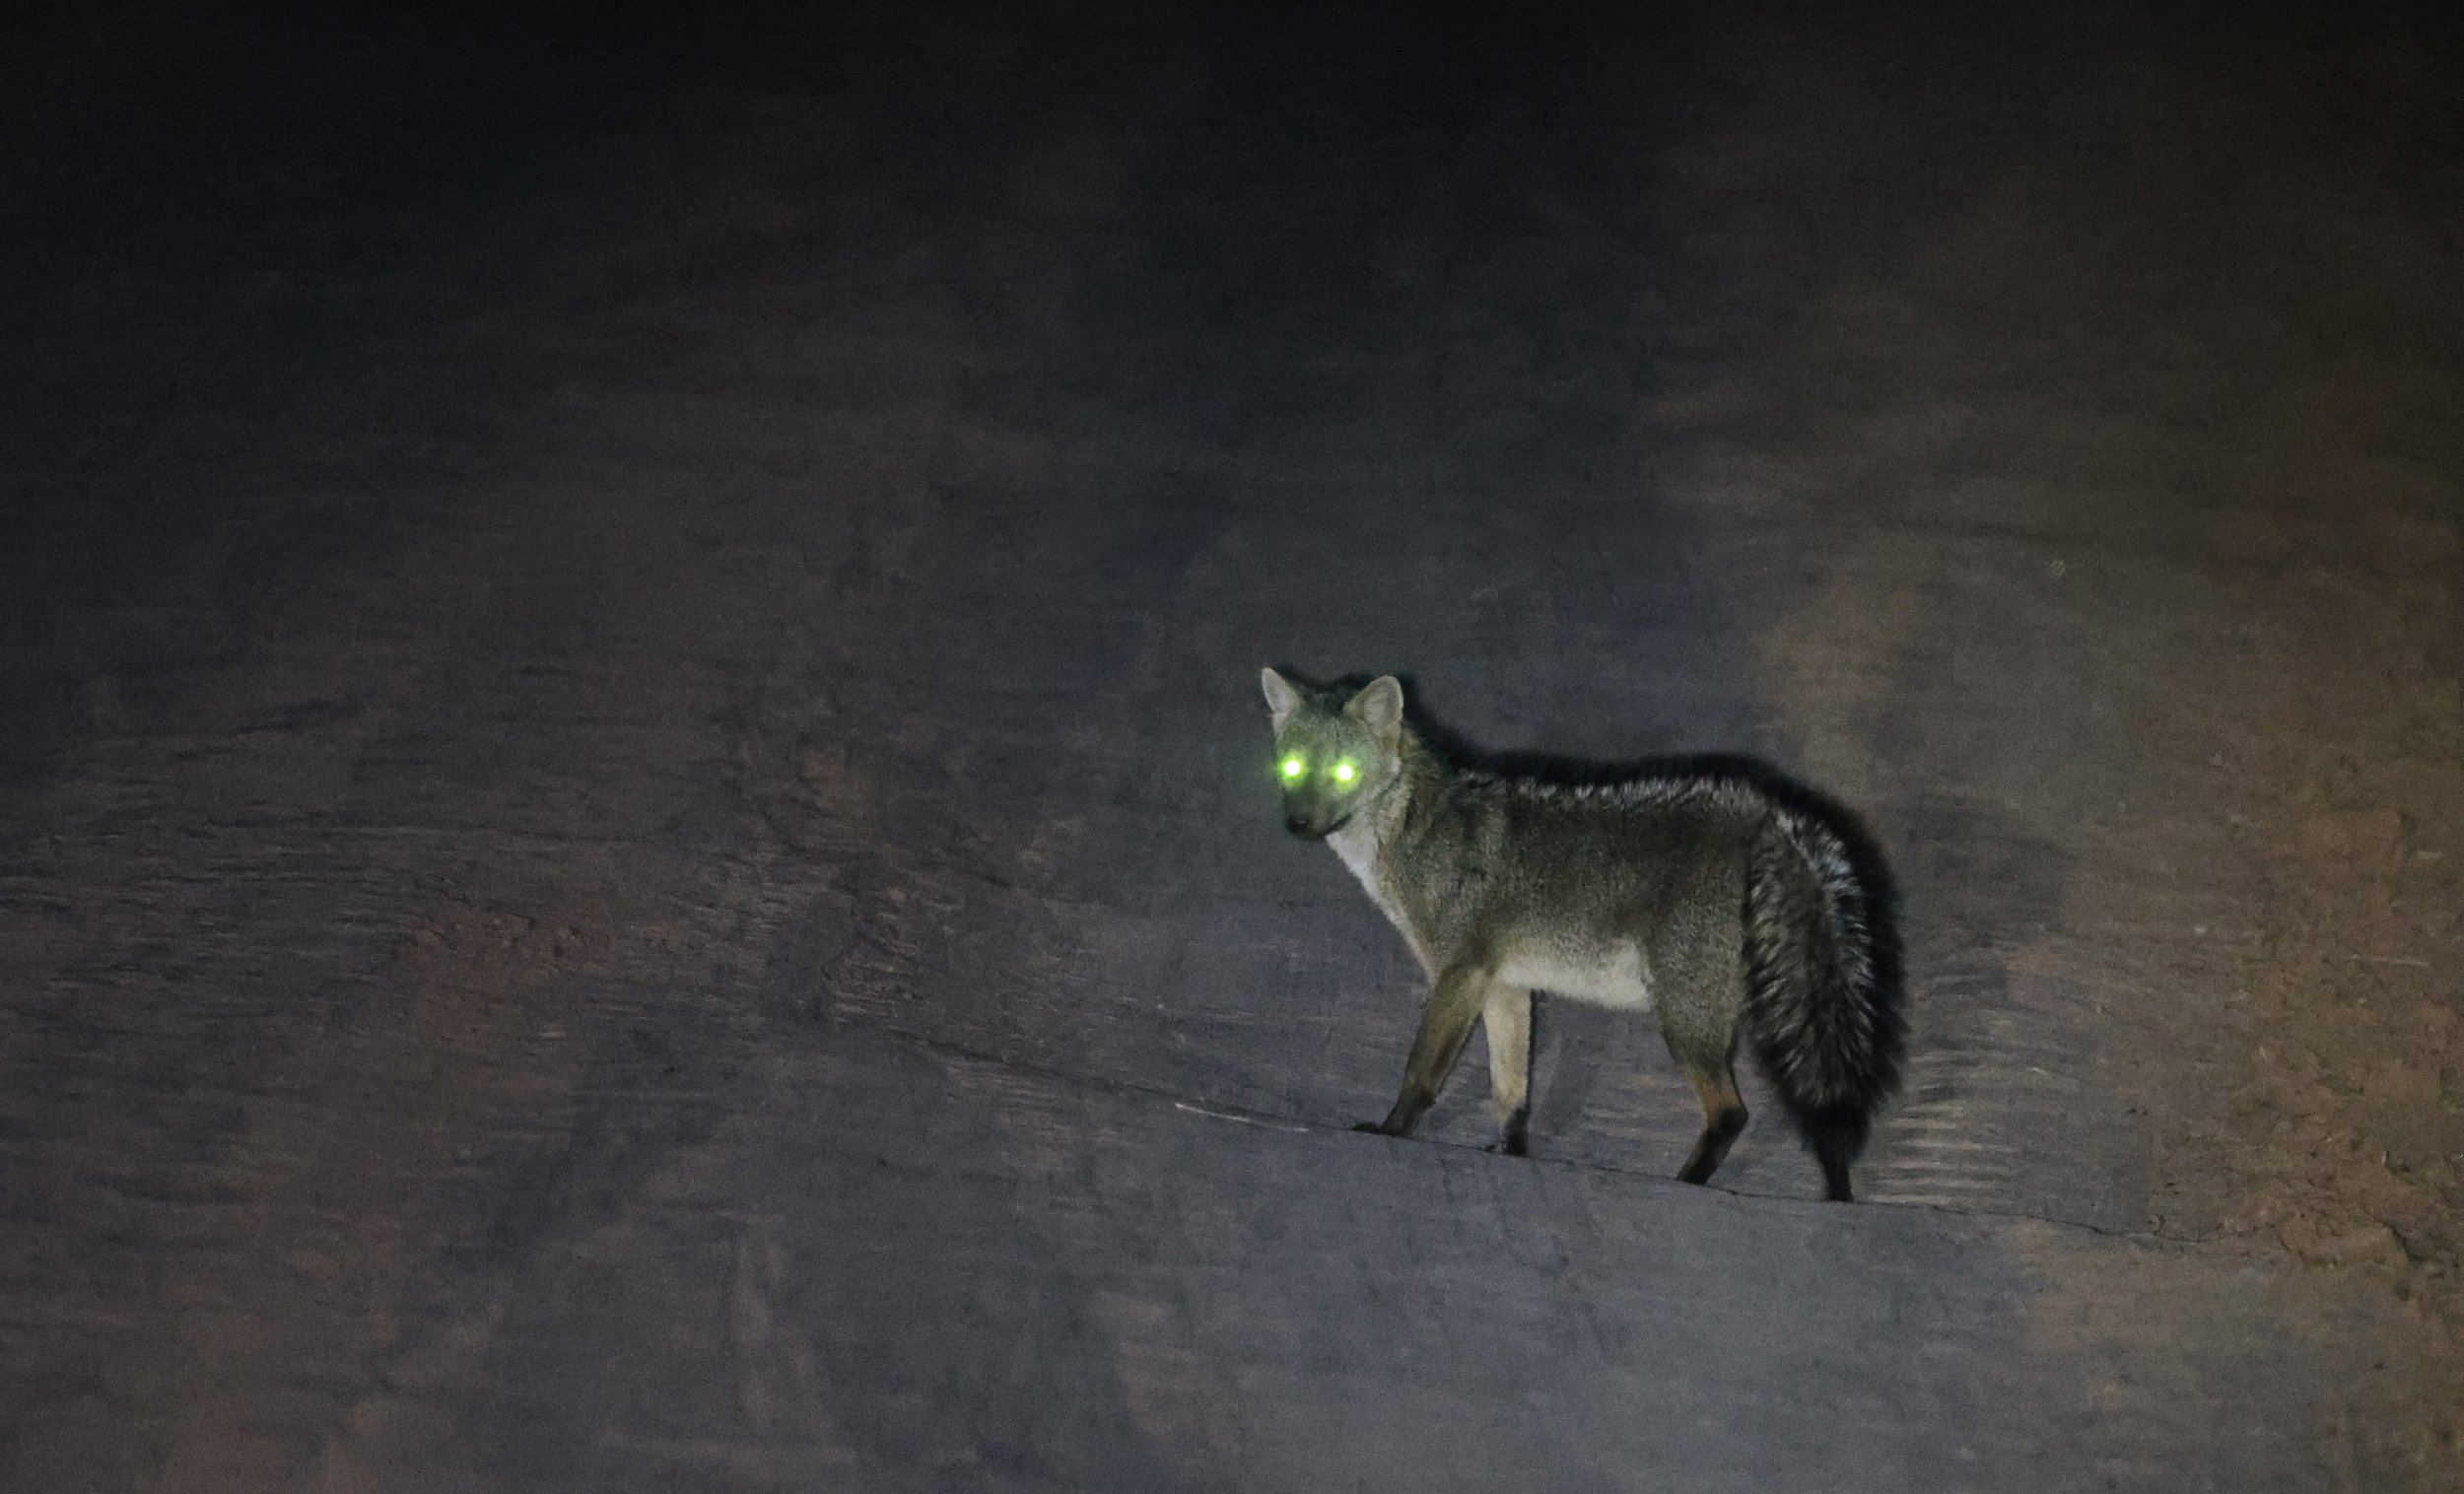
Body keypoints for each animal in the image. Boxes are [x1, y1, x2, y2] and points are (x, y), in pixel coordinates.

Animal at [1261, 668, 1902, 1201]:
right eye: (1292, 768)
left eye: (1343, 772)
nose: (1297, 824)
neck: (1416, 831)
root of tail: (1764, 813)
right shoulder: (1505, 986)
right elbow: (1511, 1093)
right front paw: (1510, 1157)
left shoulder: (1458, 975)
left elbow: (1420, 1074)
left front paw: (1389, 1133)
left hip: (1682, 1020)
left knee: (1730, 1113)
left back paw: (1686, 1183)